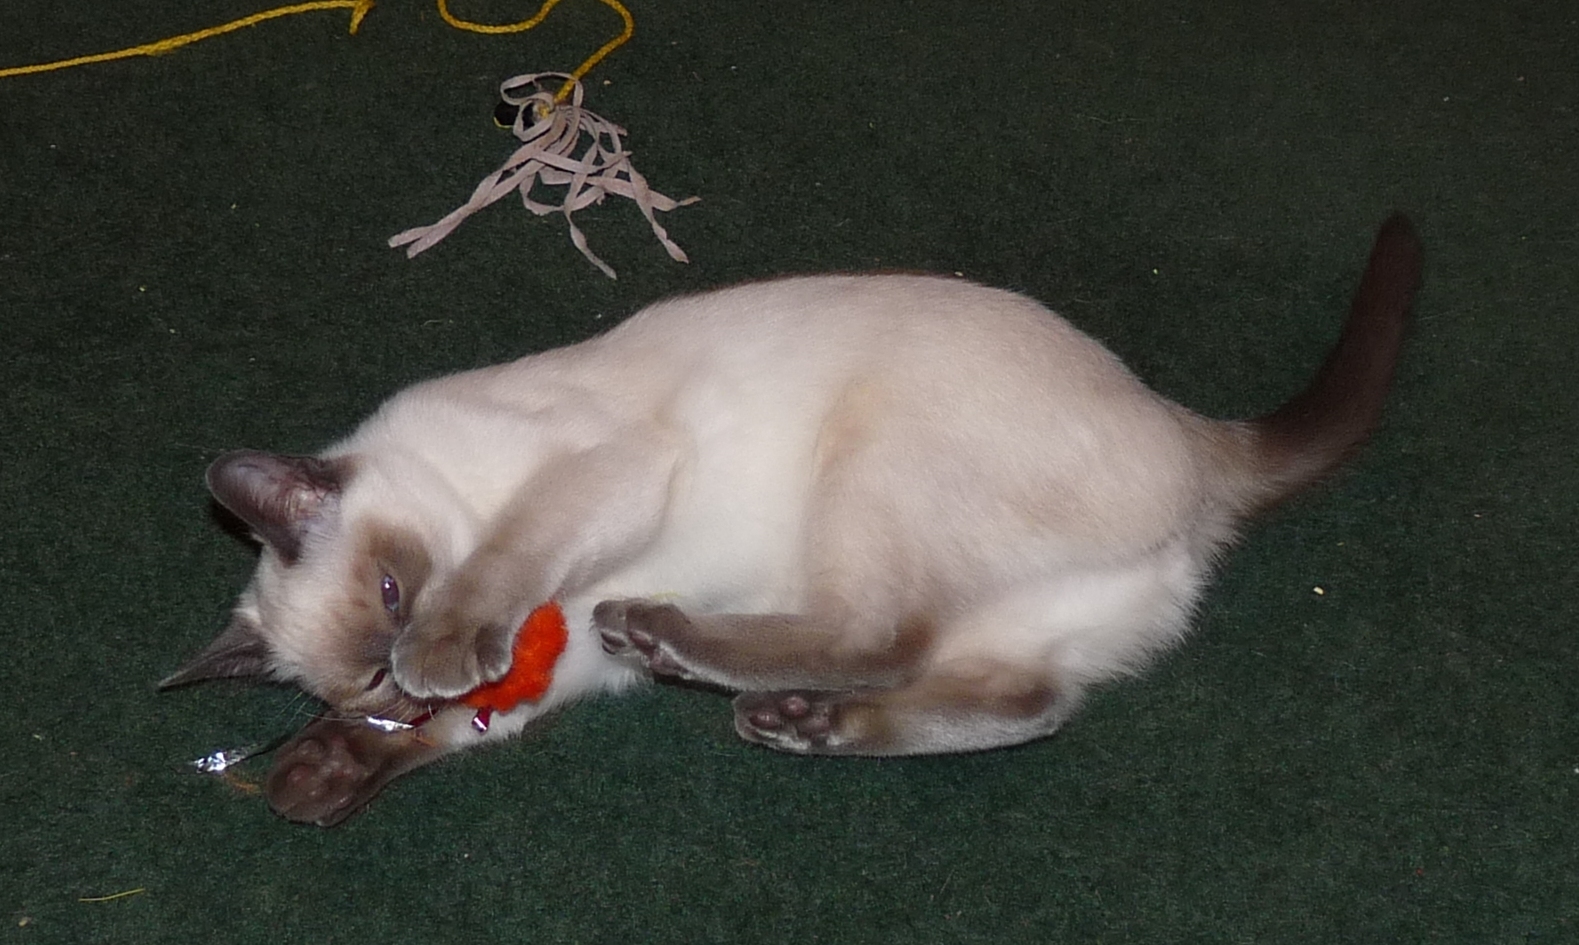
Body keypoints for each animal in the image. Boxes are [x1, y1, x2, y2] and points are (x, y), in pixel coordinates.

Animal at [166, 218, 1427, 828]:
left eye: (394, 595)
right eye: (359, 677)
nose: (397, 669)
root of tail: (1186, 433)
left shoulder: (600, 482)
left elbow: (506, 566)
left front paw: (436, 670)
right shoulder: (554, 651)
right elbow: (467, 723)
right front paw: (323, 772)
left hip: (872, 466)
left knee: (886, 636)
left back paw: (674, 641)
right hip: (1012, 619)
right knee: (1020, 700)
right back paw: (792, 720)